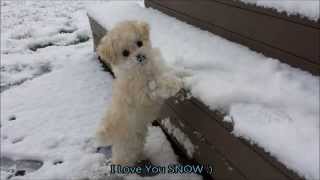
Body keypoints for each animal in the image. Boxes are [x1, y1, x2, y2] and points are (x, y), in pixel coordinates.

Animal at [95, 20, 182, 165]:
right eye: (125, 53)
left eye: (140, 43)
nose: (140, 56)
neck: (141, 68)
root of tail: (111, 132)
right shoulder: (143, 92)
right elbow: (156, 85)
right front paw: (174, 85)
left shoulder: (158, 66)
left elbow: (166, 71)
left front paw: (183, 74)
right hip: (126, 148)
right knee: (122, 160)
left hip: (137, 141)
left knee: (136, 151)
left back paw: (141, 156)